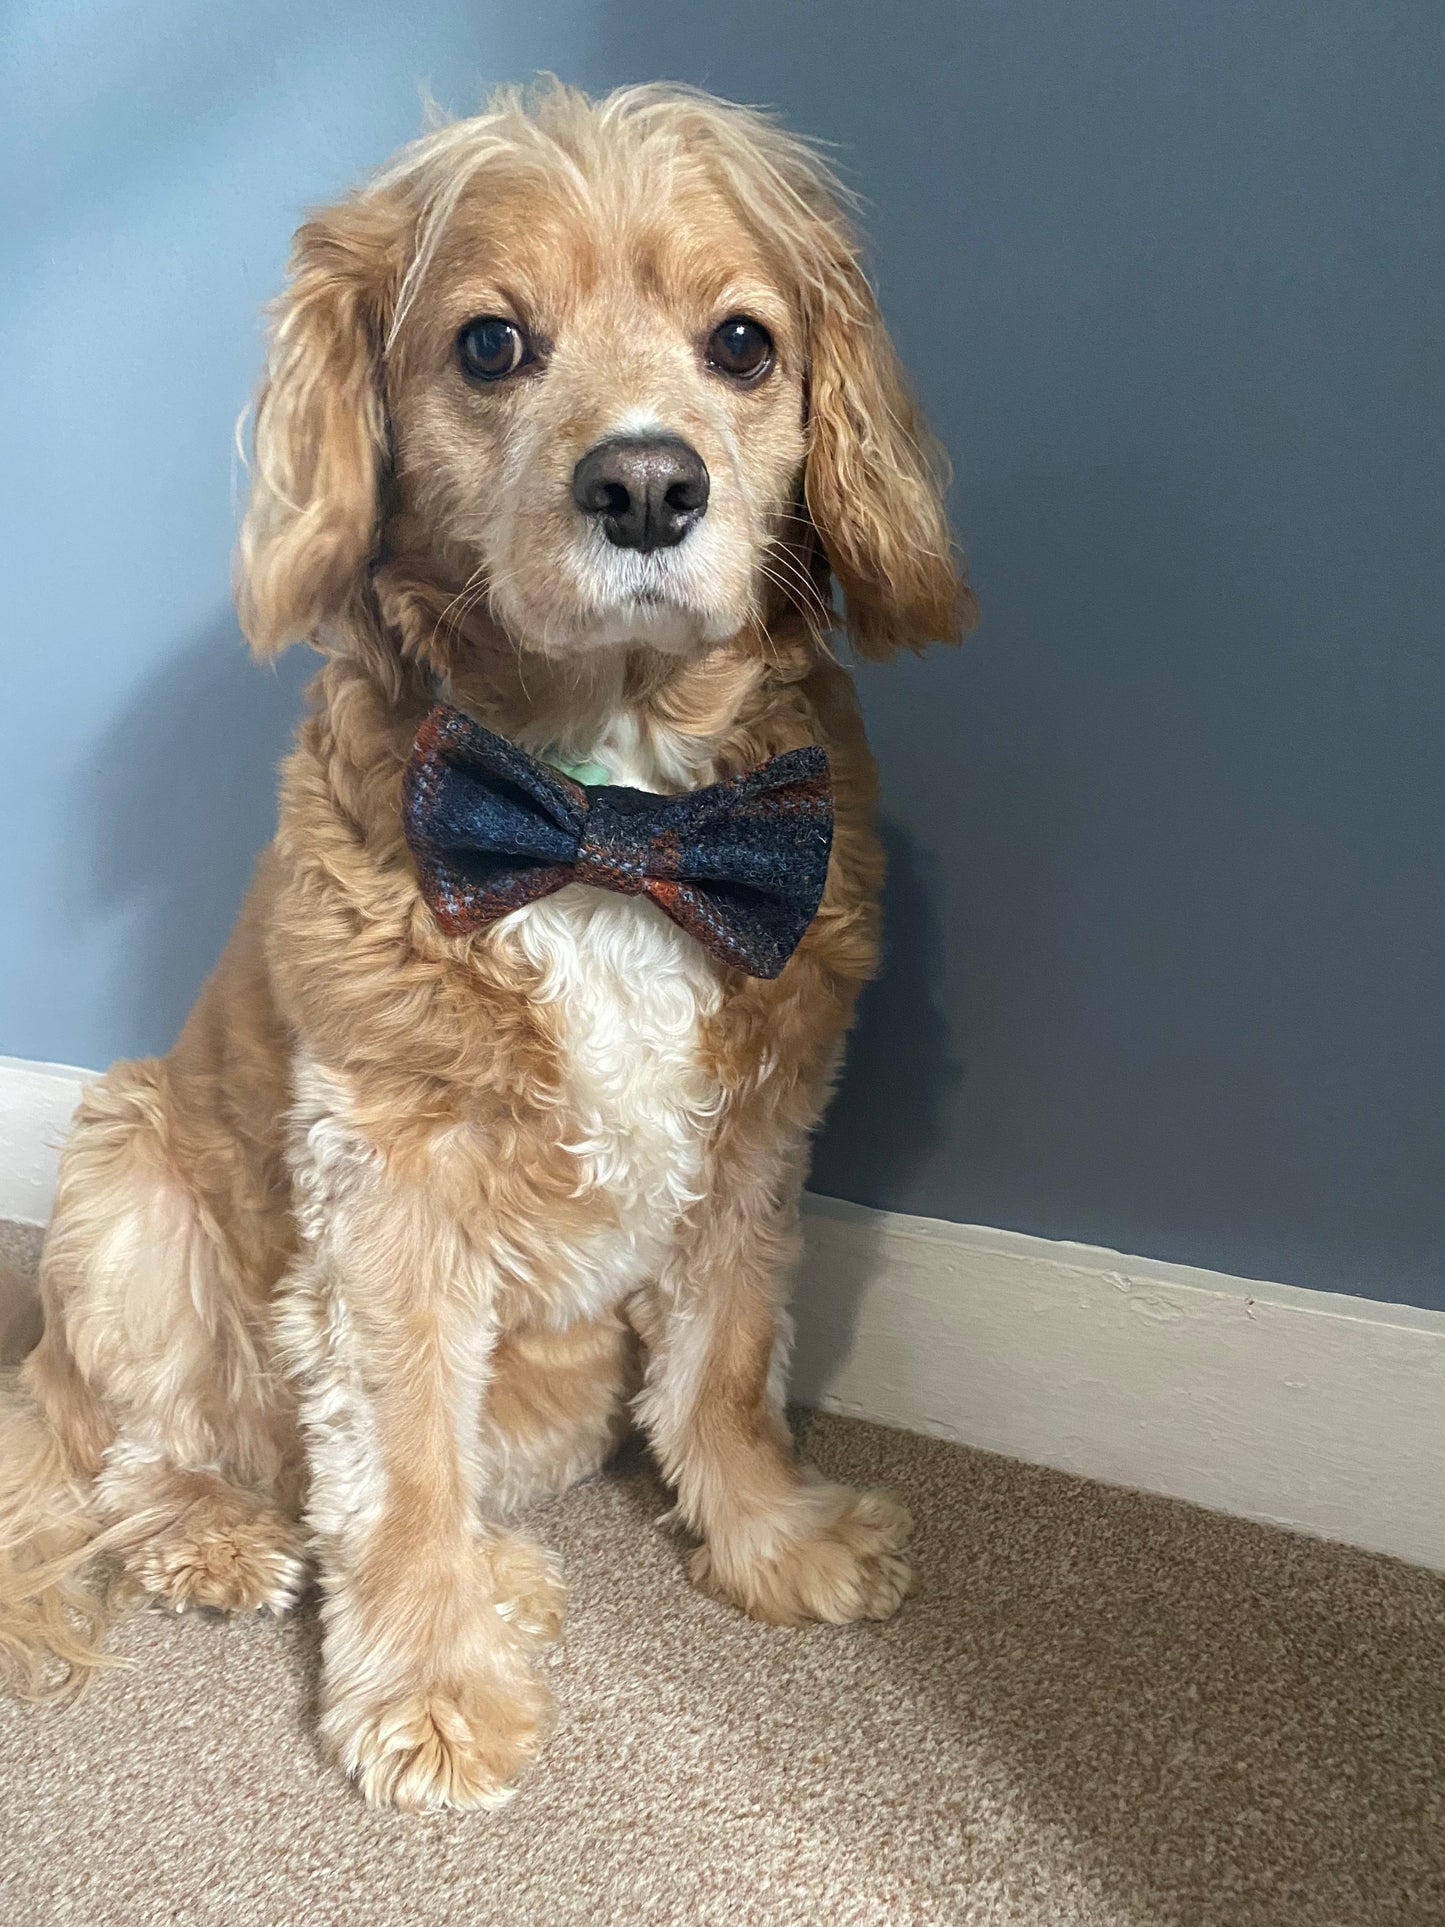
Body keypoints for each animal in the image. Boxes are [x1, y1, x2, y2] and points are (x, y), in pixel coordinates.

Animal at [0, 82, 978, 1811]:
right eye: (490, 345)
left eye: (743, 343)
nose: (648, 484)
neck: (607, 814)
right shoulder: (386, 1179)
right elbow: (399, 1454)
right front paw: (431, 1680)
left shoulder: (753, 1138)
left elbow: (725, 1364)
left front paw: (772, 1535)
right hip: (128, 1174)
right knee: (149, 1451)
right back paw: (221, 1536)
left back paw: (500, 1570)